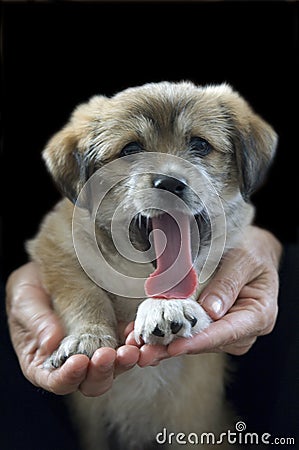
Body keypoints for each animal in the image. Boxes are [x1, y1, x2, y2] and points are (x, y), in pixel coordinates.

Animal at [27, 81, 278, 450]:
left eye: (200, 145)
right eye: (131, 149)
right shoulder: (55, 245)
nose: (170, 184)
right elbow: (83, 294)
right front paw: (88, 336)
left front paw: (165, 307)